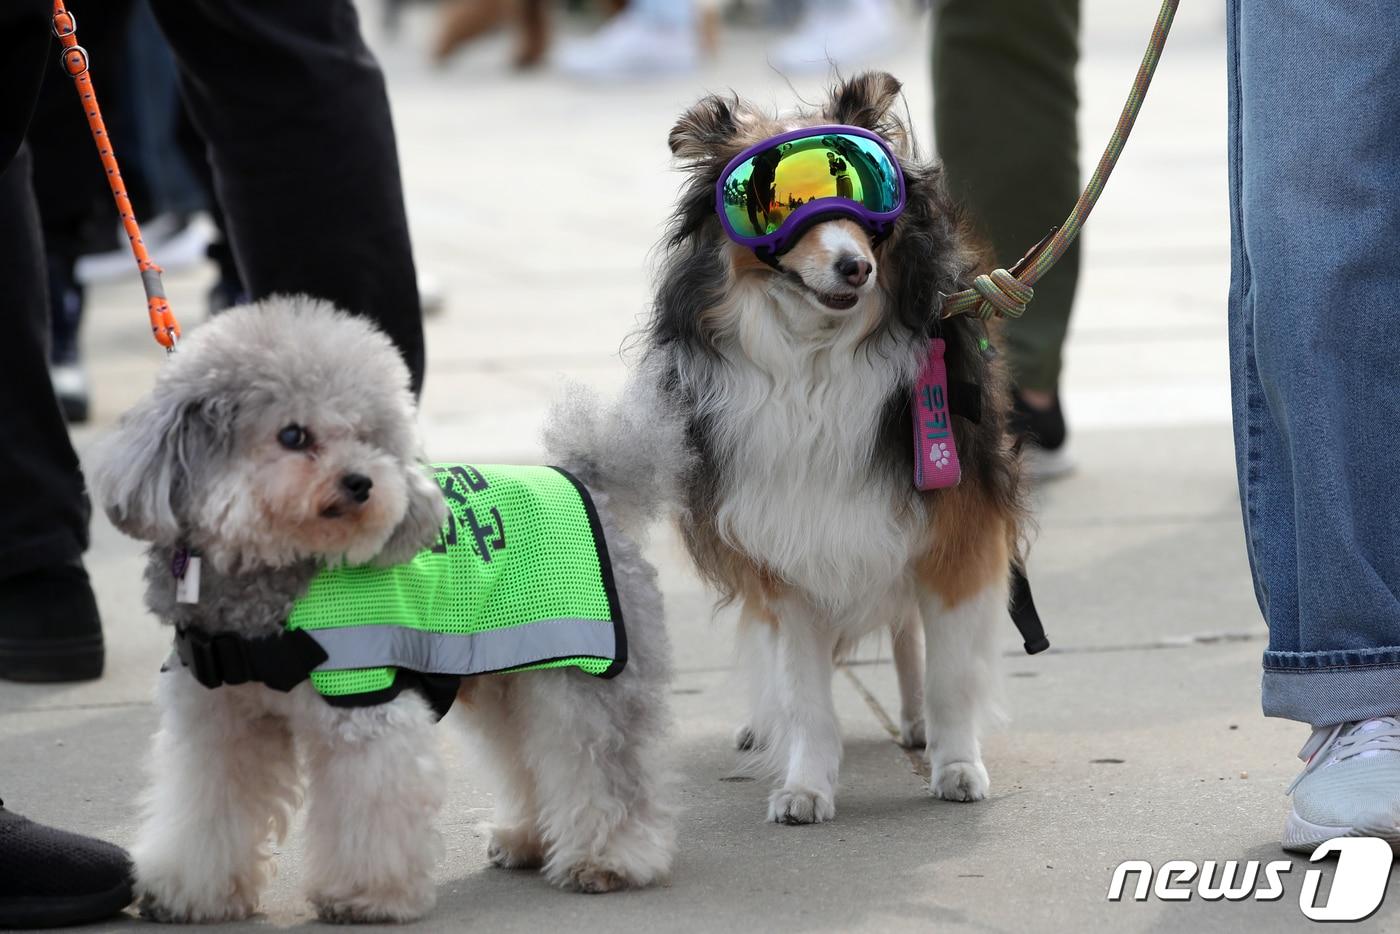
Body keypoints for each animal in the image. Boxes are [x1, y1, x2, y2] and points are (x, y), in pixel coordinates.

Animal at [618, 73, 1024, 823]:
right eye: (776, 204)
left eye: (867, 196)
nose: (854, 266)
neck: (817, 361)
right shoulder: (785, 544)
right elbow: (805, 695)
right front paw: (805, 786)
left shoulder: (954, 529)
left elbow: (951, 674)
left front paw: (957, 764)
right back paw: (763, 725)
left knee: (907, 634)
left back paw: (914, 721)